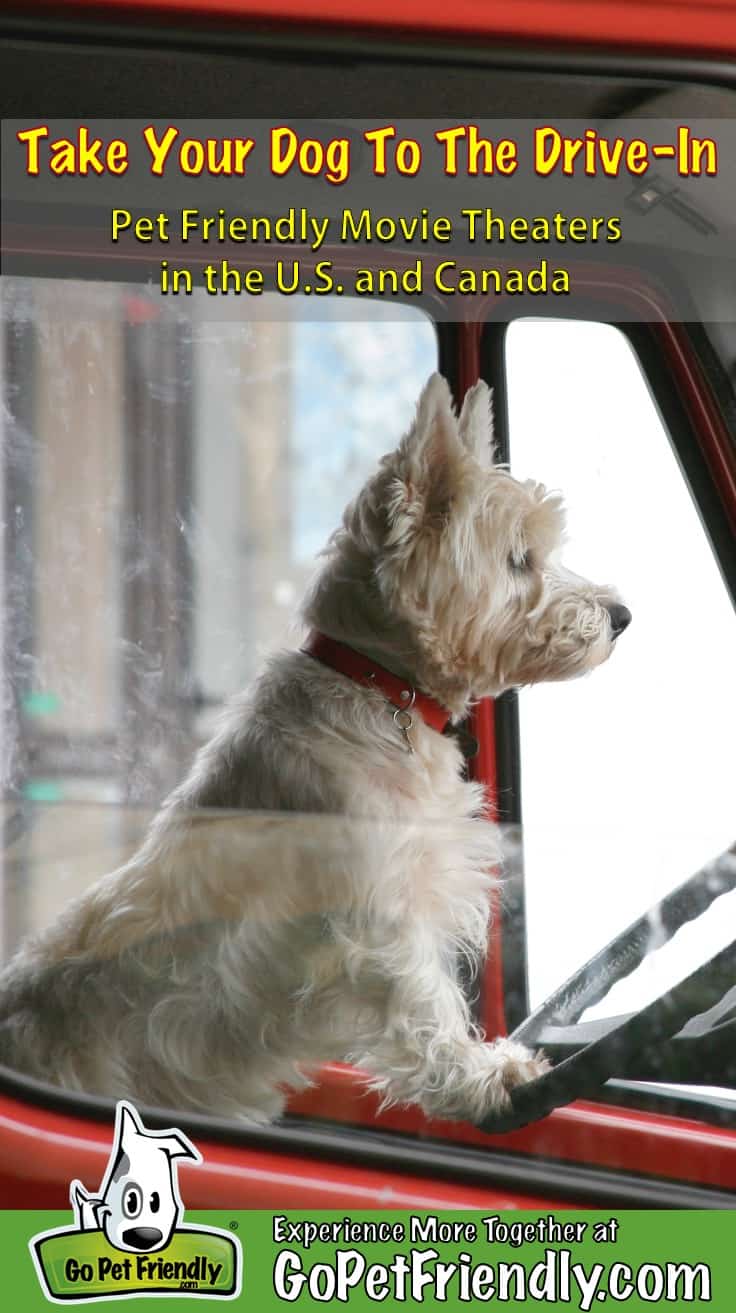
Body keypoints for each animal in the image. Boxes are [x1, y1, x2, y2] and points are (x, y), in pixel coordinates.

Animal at [1, 375, 632, 1123]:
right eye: (517, 560)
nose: (621, 616)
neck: (378, 684)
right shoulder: (379, 916)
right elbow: (427, 1000)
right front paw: (485, 1074)